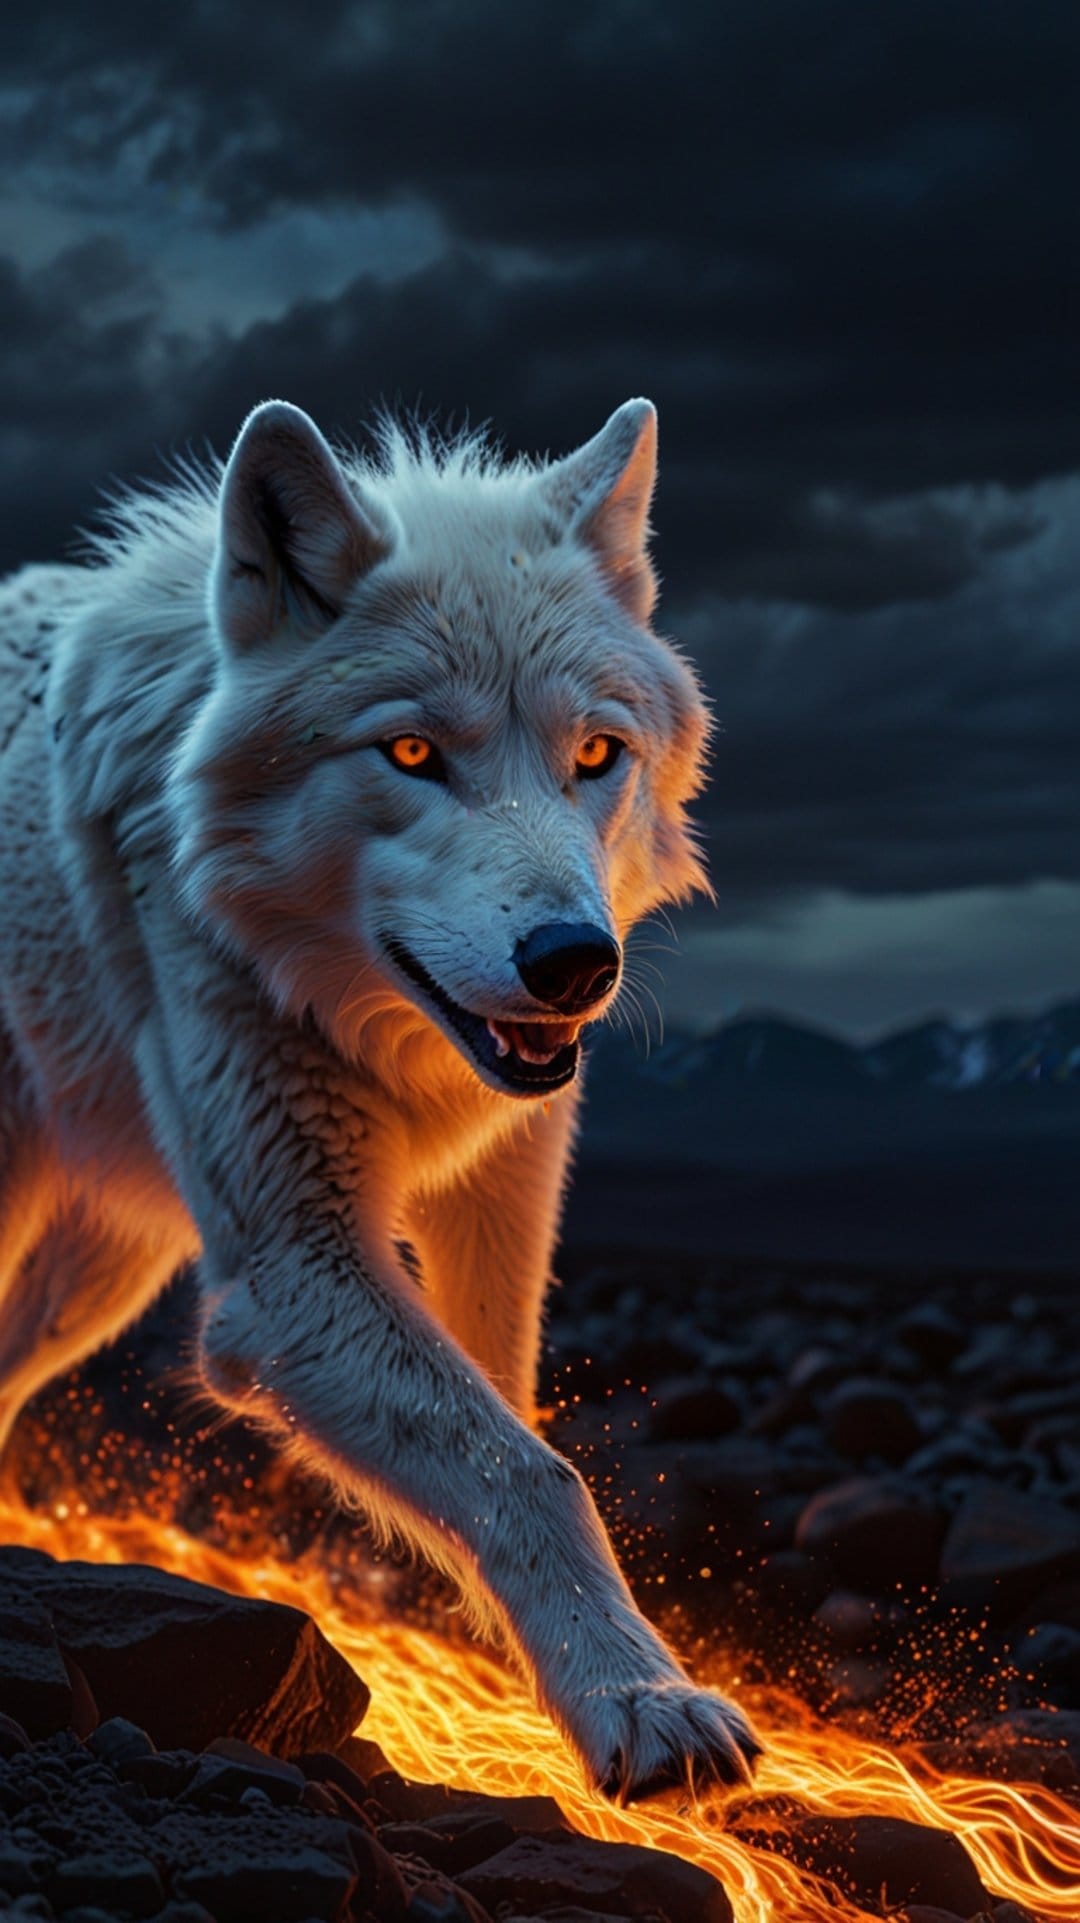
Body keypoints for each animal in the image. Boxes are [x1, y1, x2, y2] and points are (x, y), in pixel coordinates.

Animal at [0, 395, 759, 1801]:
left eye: (596, 755)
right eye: (411, 751)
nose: (574, 963)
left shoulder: (500, 1199)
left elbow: (506, 1423)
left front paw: (522, 1671)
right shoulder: (296, 1271)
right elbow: (533, 1471)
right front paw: (638, 1700)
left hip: (103, 1269)